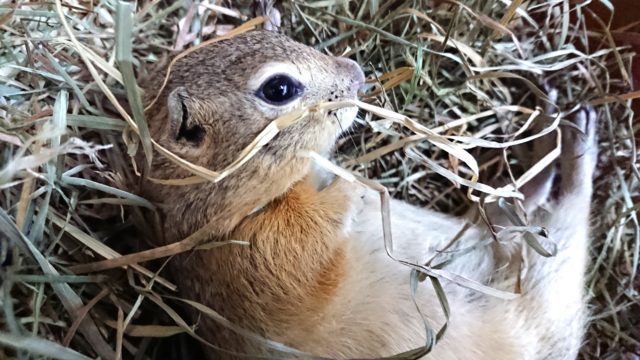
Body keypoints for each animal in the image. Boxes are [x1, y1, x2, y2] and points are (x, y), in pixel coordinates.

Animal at [140, 29, 596, 358]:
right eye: (279, 89)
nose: (356, 71)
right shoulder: (259, 246)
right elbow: (316, 229)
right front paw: (352, 186)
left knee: (506, 216)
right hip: (547, 286)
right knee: (563, 216)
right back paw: (576, 139)